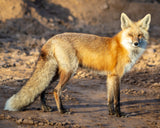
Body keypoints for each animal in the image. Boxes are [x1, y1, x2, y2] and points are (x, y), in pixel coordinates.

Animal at [4, 13, 151, 117]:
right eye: (130, 35)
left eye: (140, 35)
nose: (136, 43)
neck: (124, 47)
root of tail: (52, 38)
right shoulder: (117, 76)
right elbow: (117, 100)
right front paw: (119, 115)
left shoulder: (110, 77)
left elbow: (109, 99)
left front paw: (111, 113)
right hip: (69, 71)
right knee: (56, 90)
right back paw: (62, 111)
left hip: (56, 73)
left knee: (43, 88)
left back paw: (45, 108)